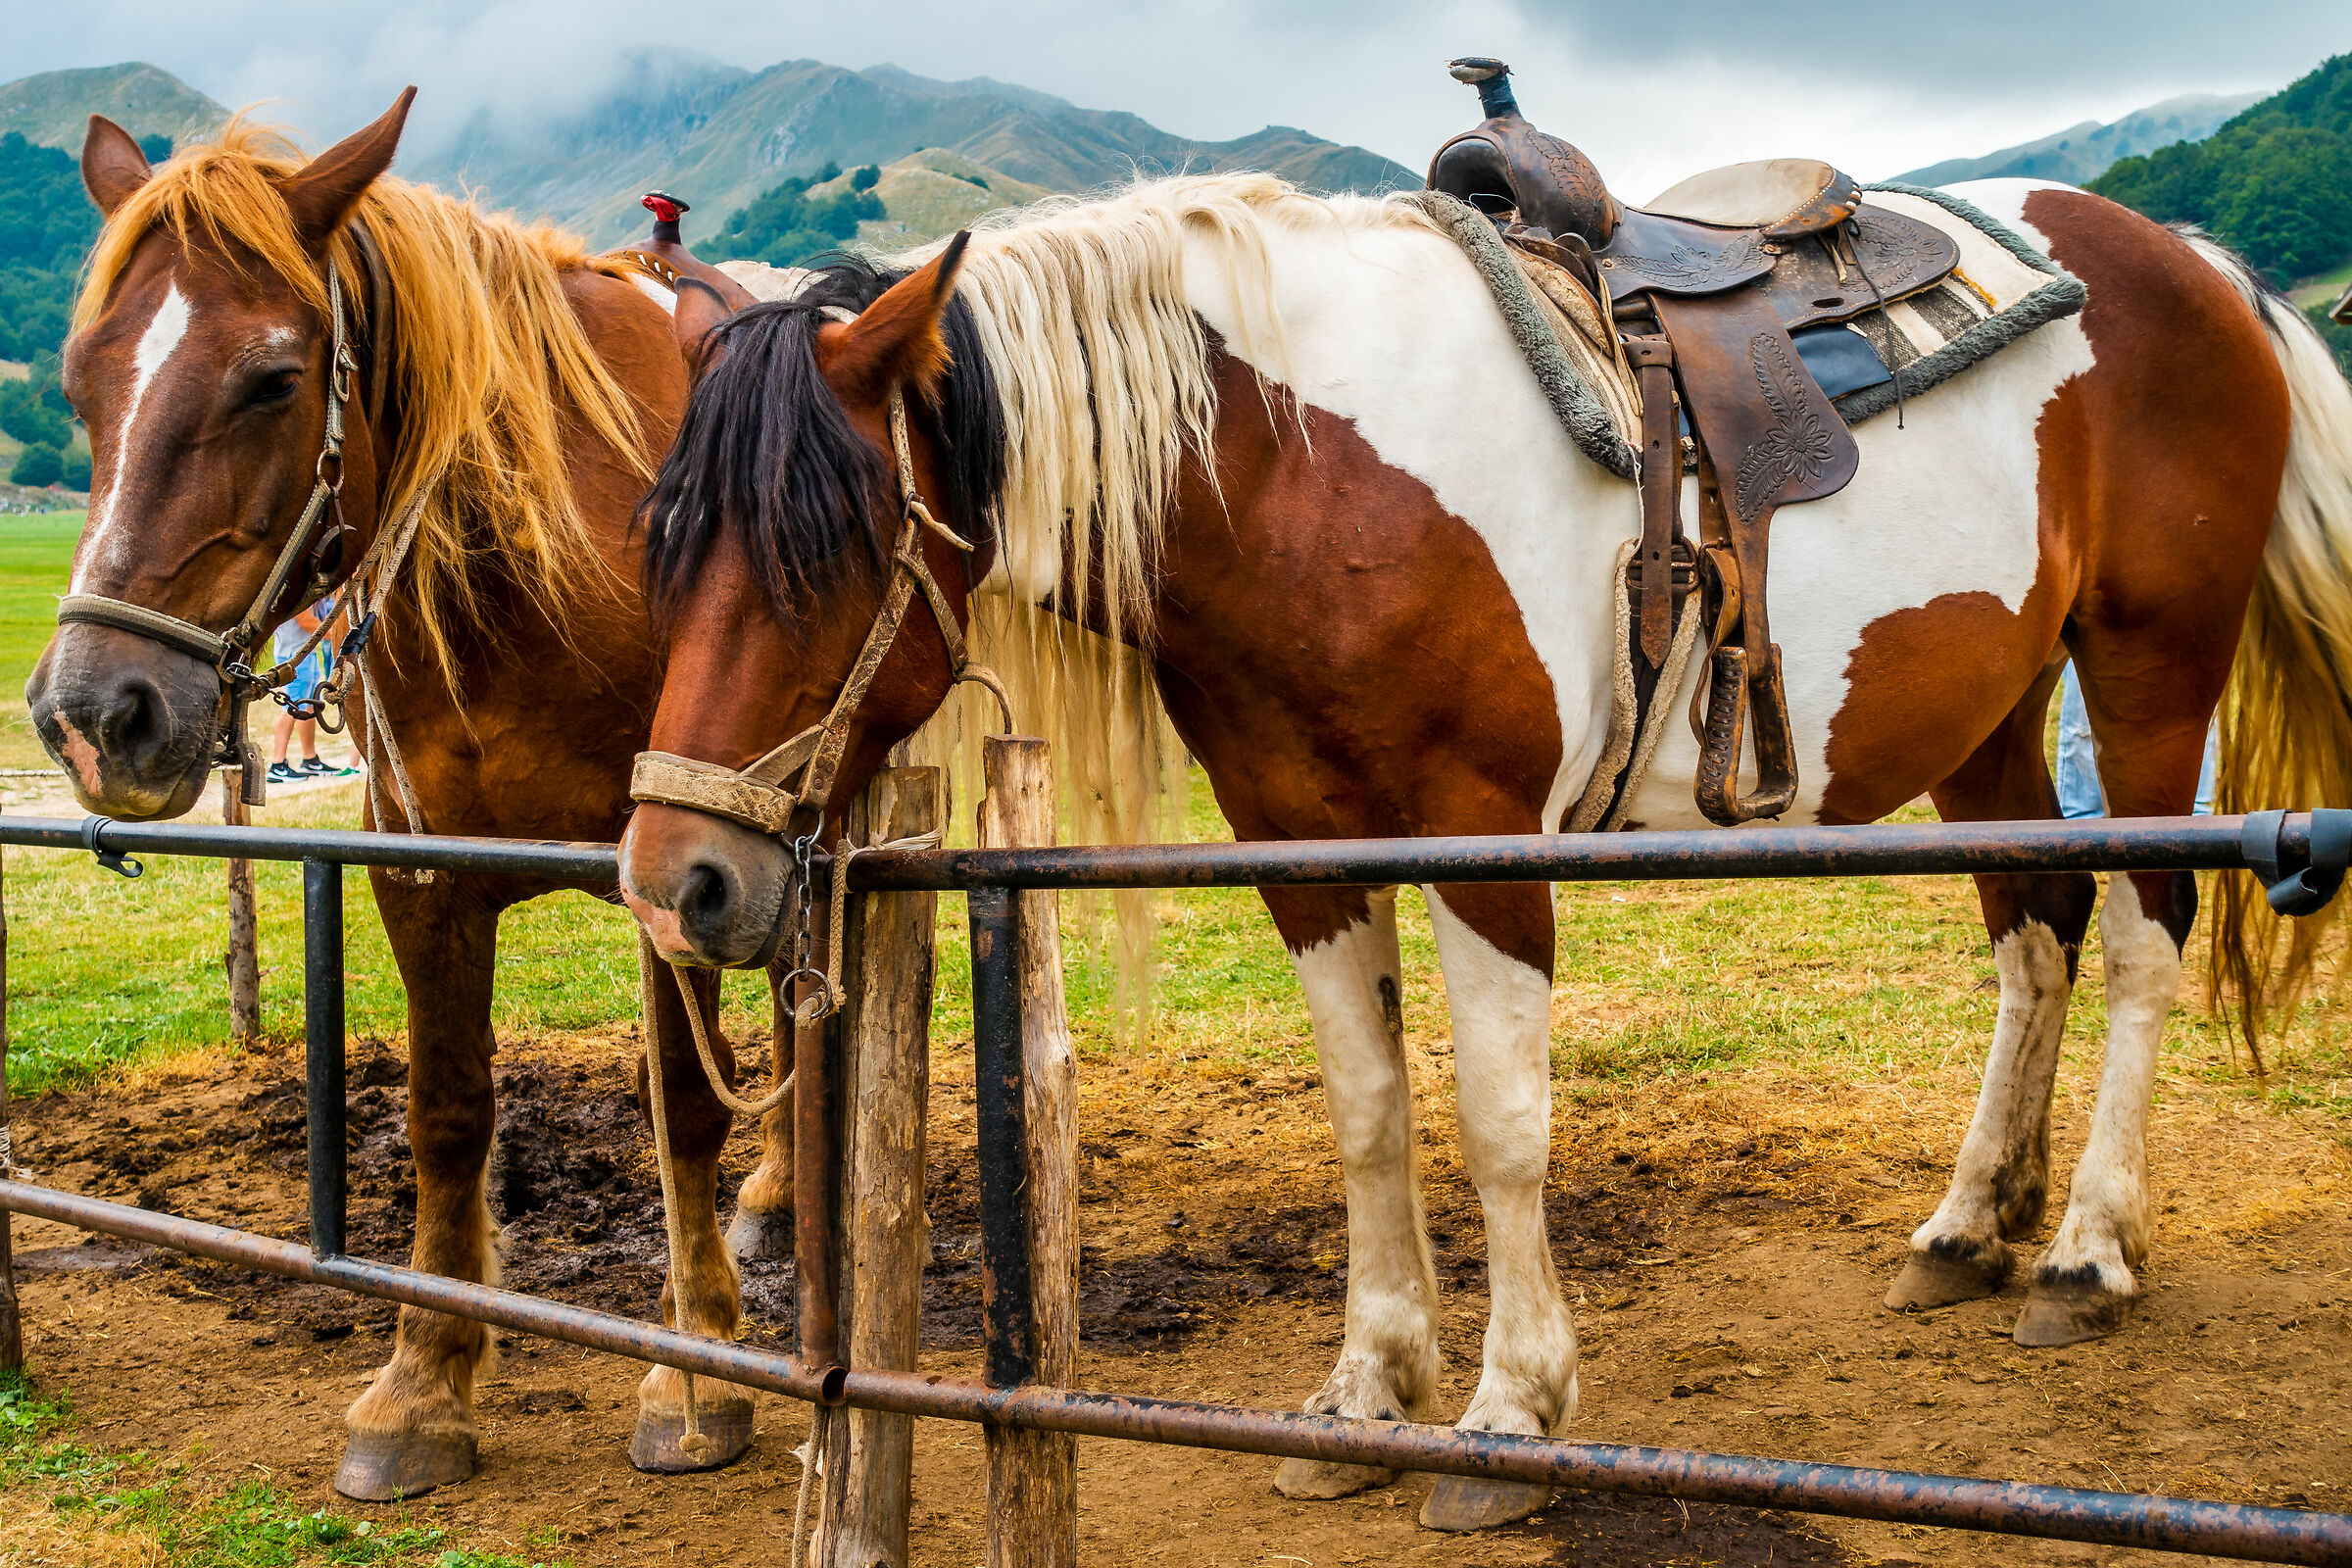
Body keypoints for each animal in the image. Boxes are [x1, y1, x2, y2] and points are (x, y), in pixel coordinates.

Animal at [27, 96, 794, 1499]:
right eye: (78, 384)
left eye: (274, 379)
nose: (94, 716)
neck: (559, 558)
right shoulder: (420, 870)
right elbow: (447, 1114)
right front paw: (425, 1378)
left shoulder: (678, 874)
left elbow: (680, 1103)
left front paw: (696, 1362)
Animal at [613, 172, 2352, 1531]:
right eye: (665, 544)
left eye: (824, 546)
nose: (676, 881)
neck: (1302, 470)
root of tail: (2196, 263)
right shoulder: (1298, 852)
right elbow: (1370, 1115)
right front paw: (1367, 1392)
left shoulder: (1482, 837)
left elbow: (1503, 1125)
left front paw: (1511, 1415)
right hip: (1993, 709)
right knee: (2033, 925)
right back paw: (1972, 1225)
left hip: (2147, 670)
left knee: (2140, 933)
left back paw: (2084, 1256)